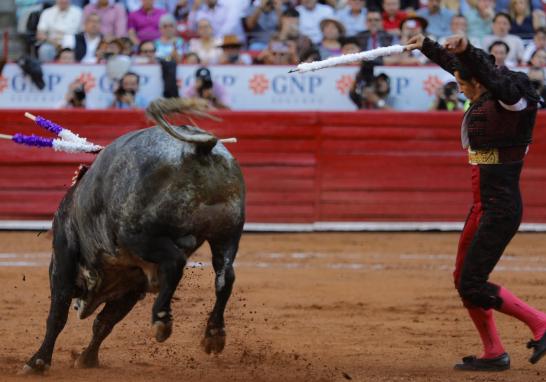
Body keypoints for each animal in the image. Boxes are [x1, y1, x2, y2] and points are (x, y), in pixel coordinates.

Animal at [20, 98, 243, 374]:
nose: (79, 304)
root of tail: (200, 148)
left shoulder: (64, 257)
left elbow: (58, 314)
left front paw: (37, 362)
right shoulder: (133, 284)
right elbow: (105, 322)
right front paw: (87, 359)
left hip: (137, 236)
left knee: (176, 261)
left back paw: (161, 319)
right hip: (227, 233)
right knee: (225, 276)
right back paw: (214, 334)